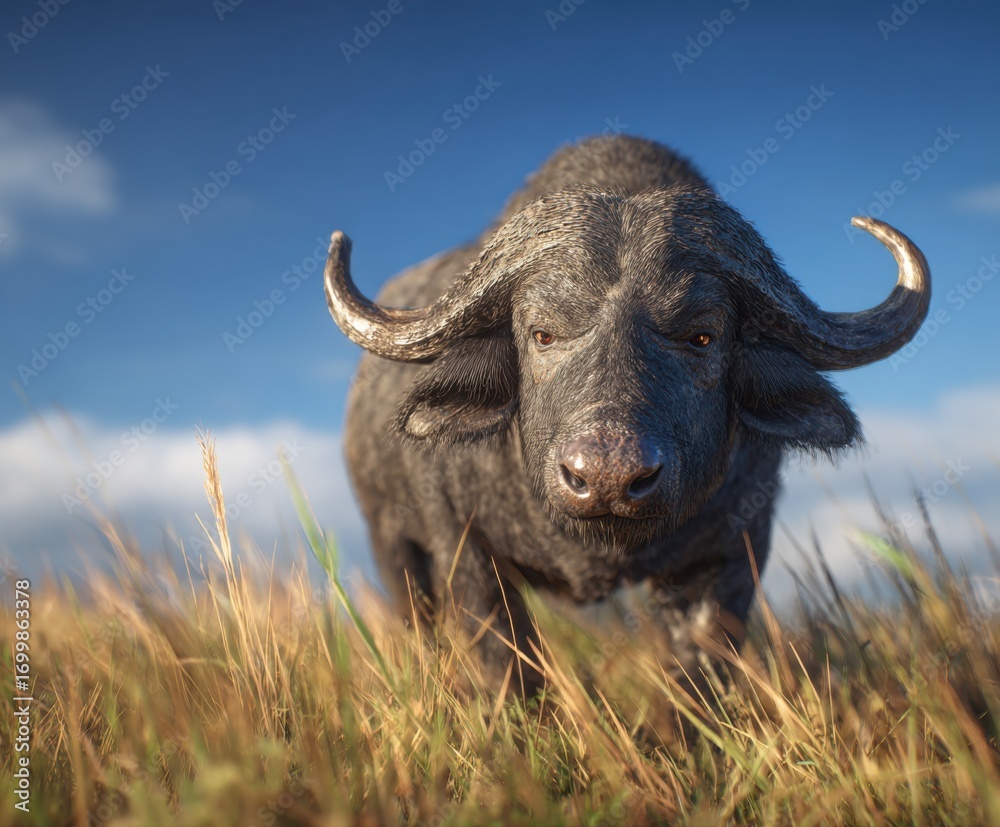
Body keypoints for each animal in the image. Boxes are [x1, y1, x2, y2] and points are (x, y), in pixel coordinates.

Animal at [324, 135, 930, 693]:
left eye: (701, 336)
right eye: (542, 334)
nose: (608, 475)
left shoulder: (733, 554)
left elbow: (696, 672)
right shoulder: (463, 546)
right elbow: (507, 665)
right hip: (392, 545)